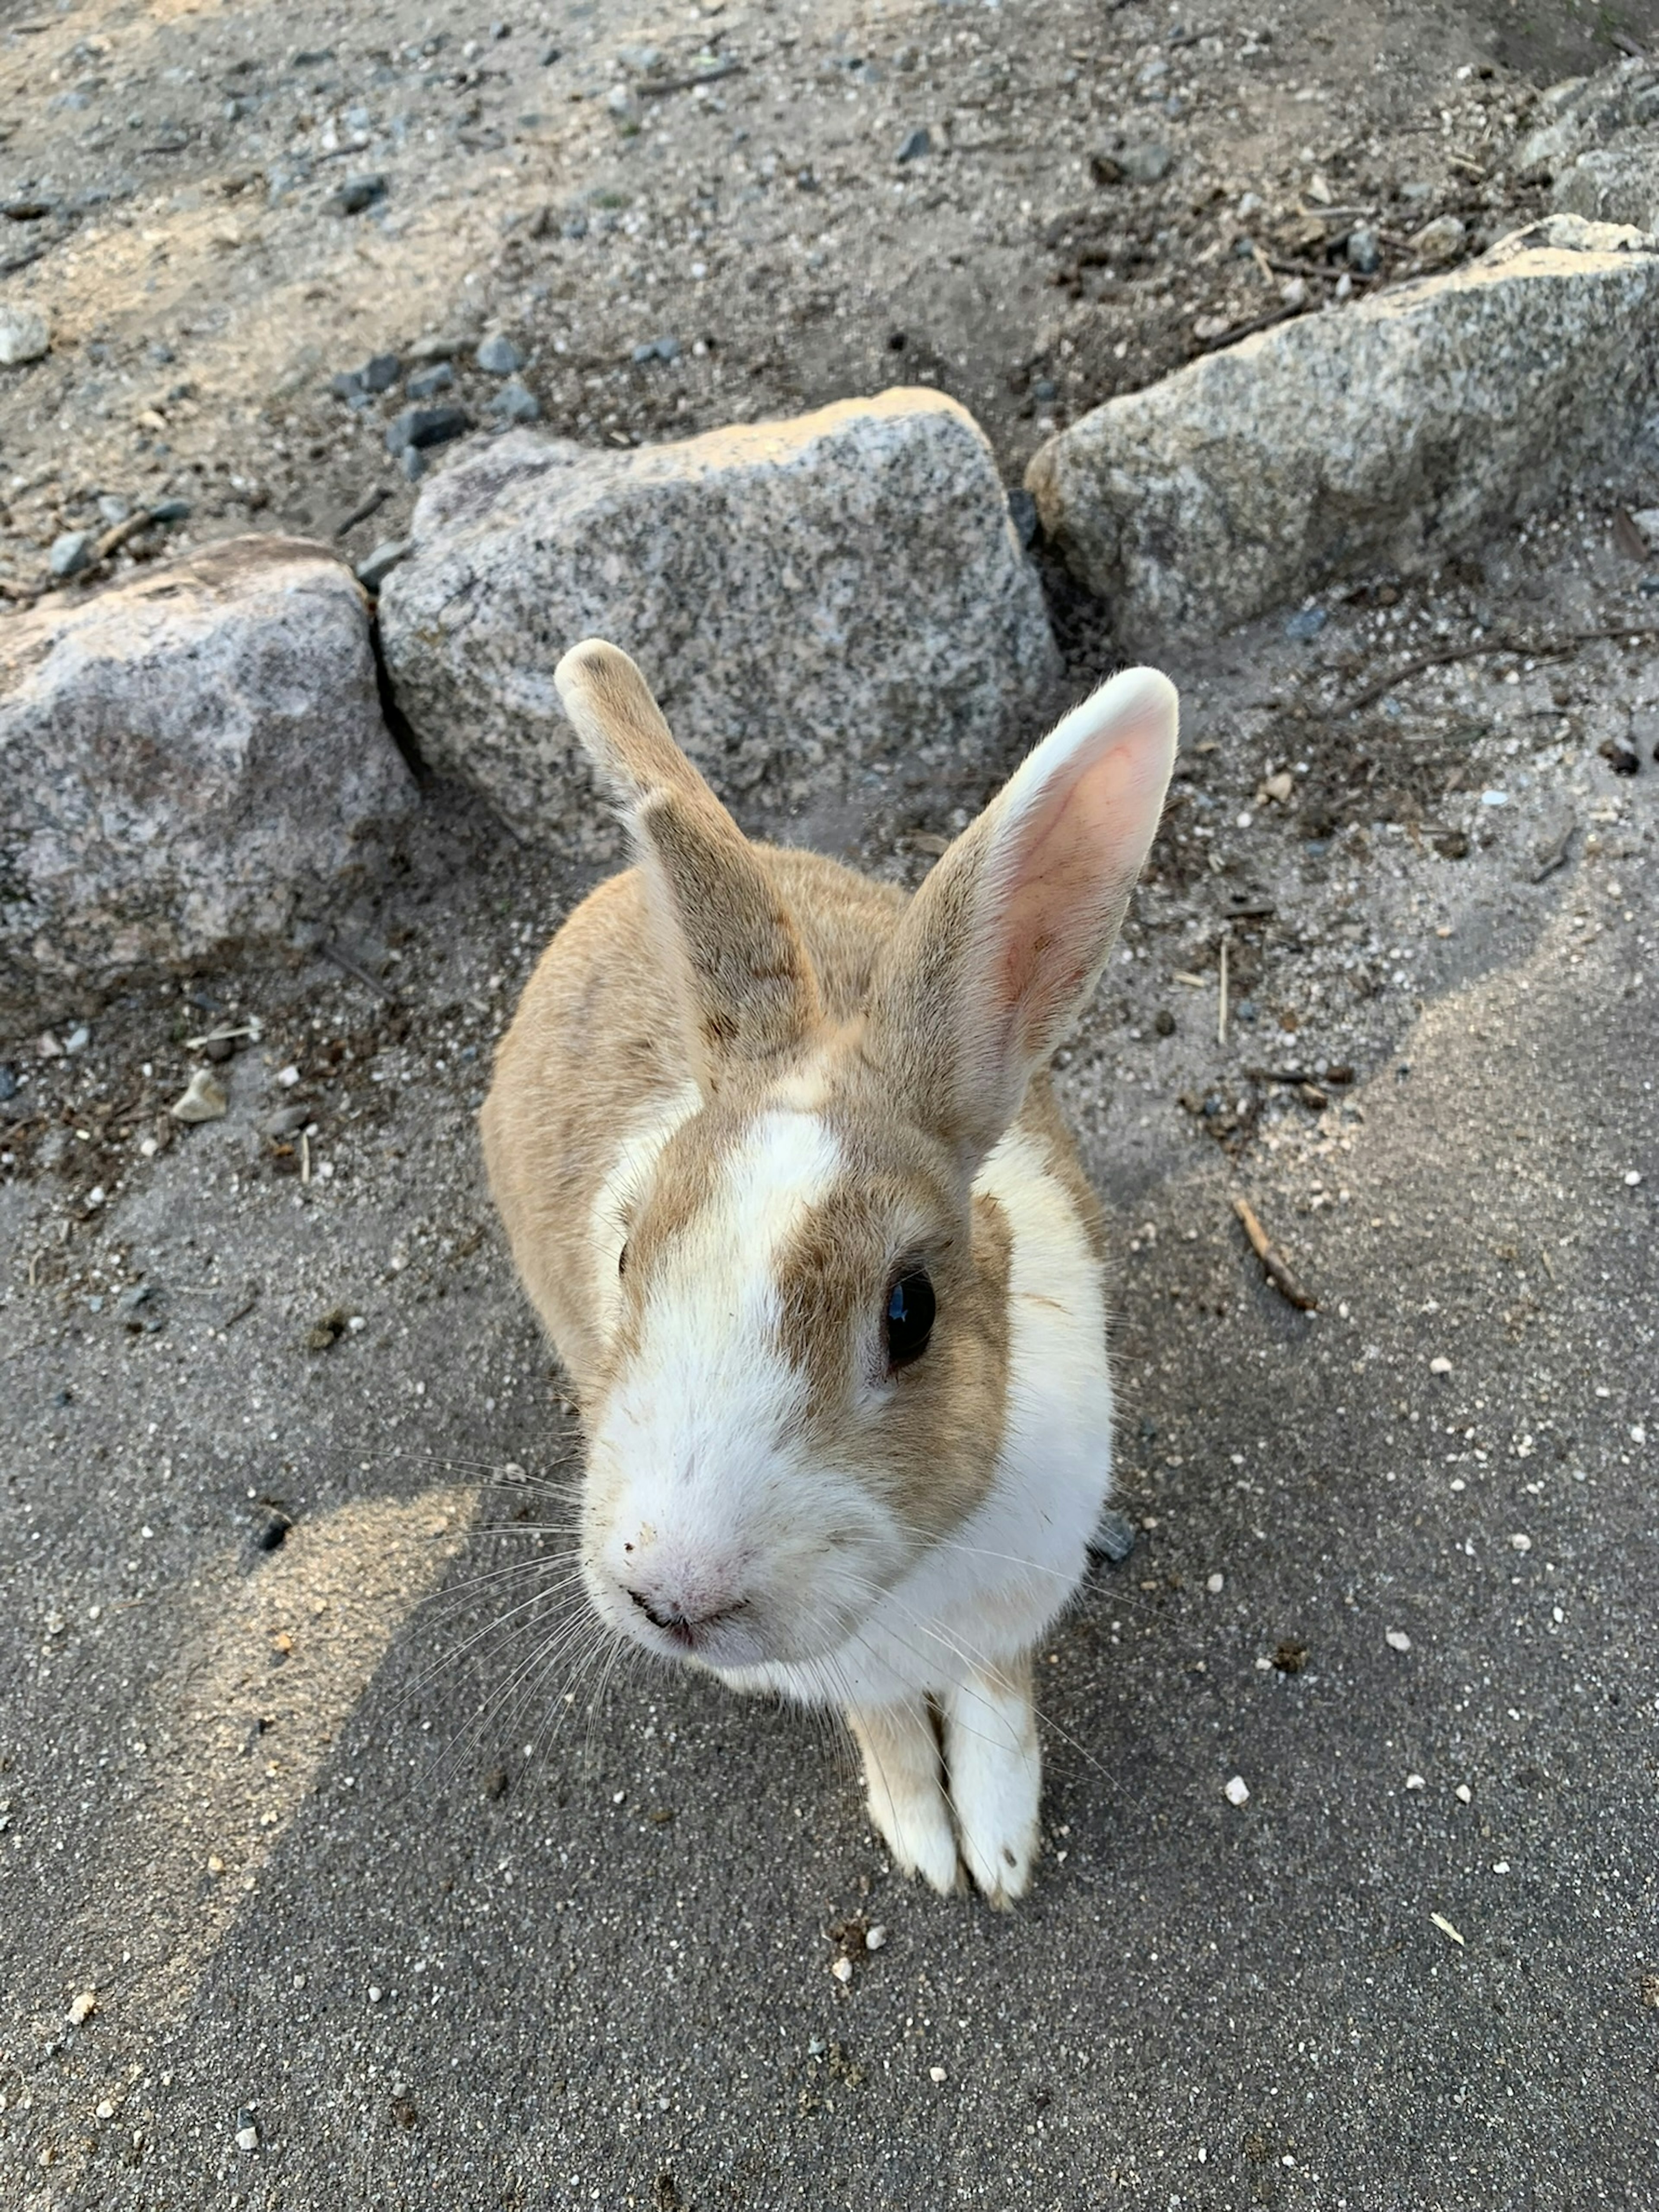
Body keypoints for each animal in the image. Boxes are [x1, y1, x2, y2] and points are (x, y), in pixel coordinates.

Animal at [480, 637, 1185, 1902]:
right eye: (626, 1252)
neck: (912, 1577)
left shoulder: (1008, 1620)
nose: (673, 1595)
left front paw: (1000, 1848)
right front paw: (926, 1845)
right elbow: (890, 1733)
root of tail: (601, 904)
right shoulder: (853, 1678)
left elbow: (998, 1708)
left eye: (912, 1311)